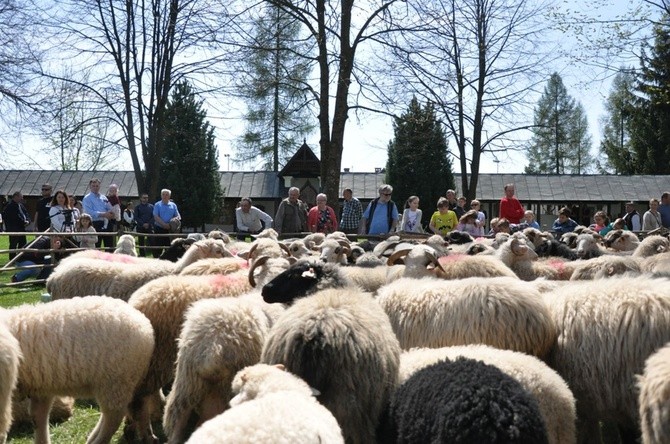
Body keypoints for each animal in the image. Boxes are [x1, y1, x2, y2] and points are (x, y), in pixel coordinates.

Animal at [4, 296, 154, 444]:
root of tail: (145, 325)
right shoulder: (40, 387)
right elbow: (39, 417)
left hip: (116, 380)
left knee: (114, 416)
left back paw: (98, 440)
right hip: (114, 383)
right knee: (110, 413)